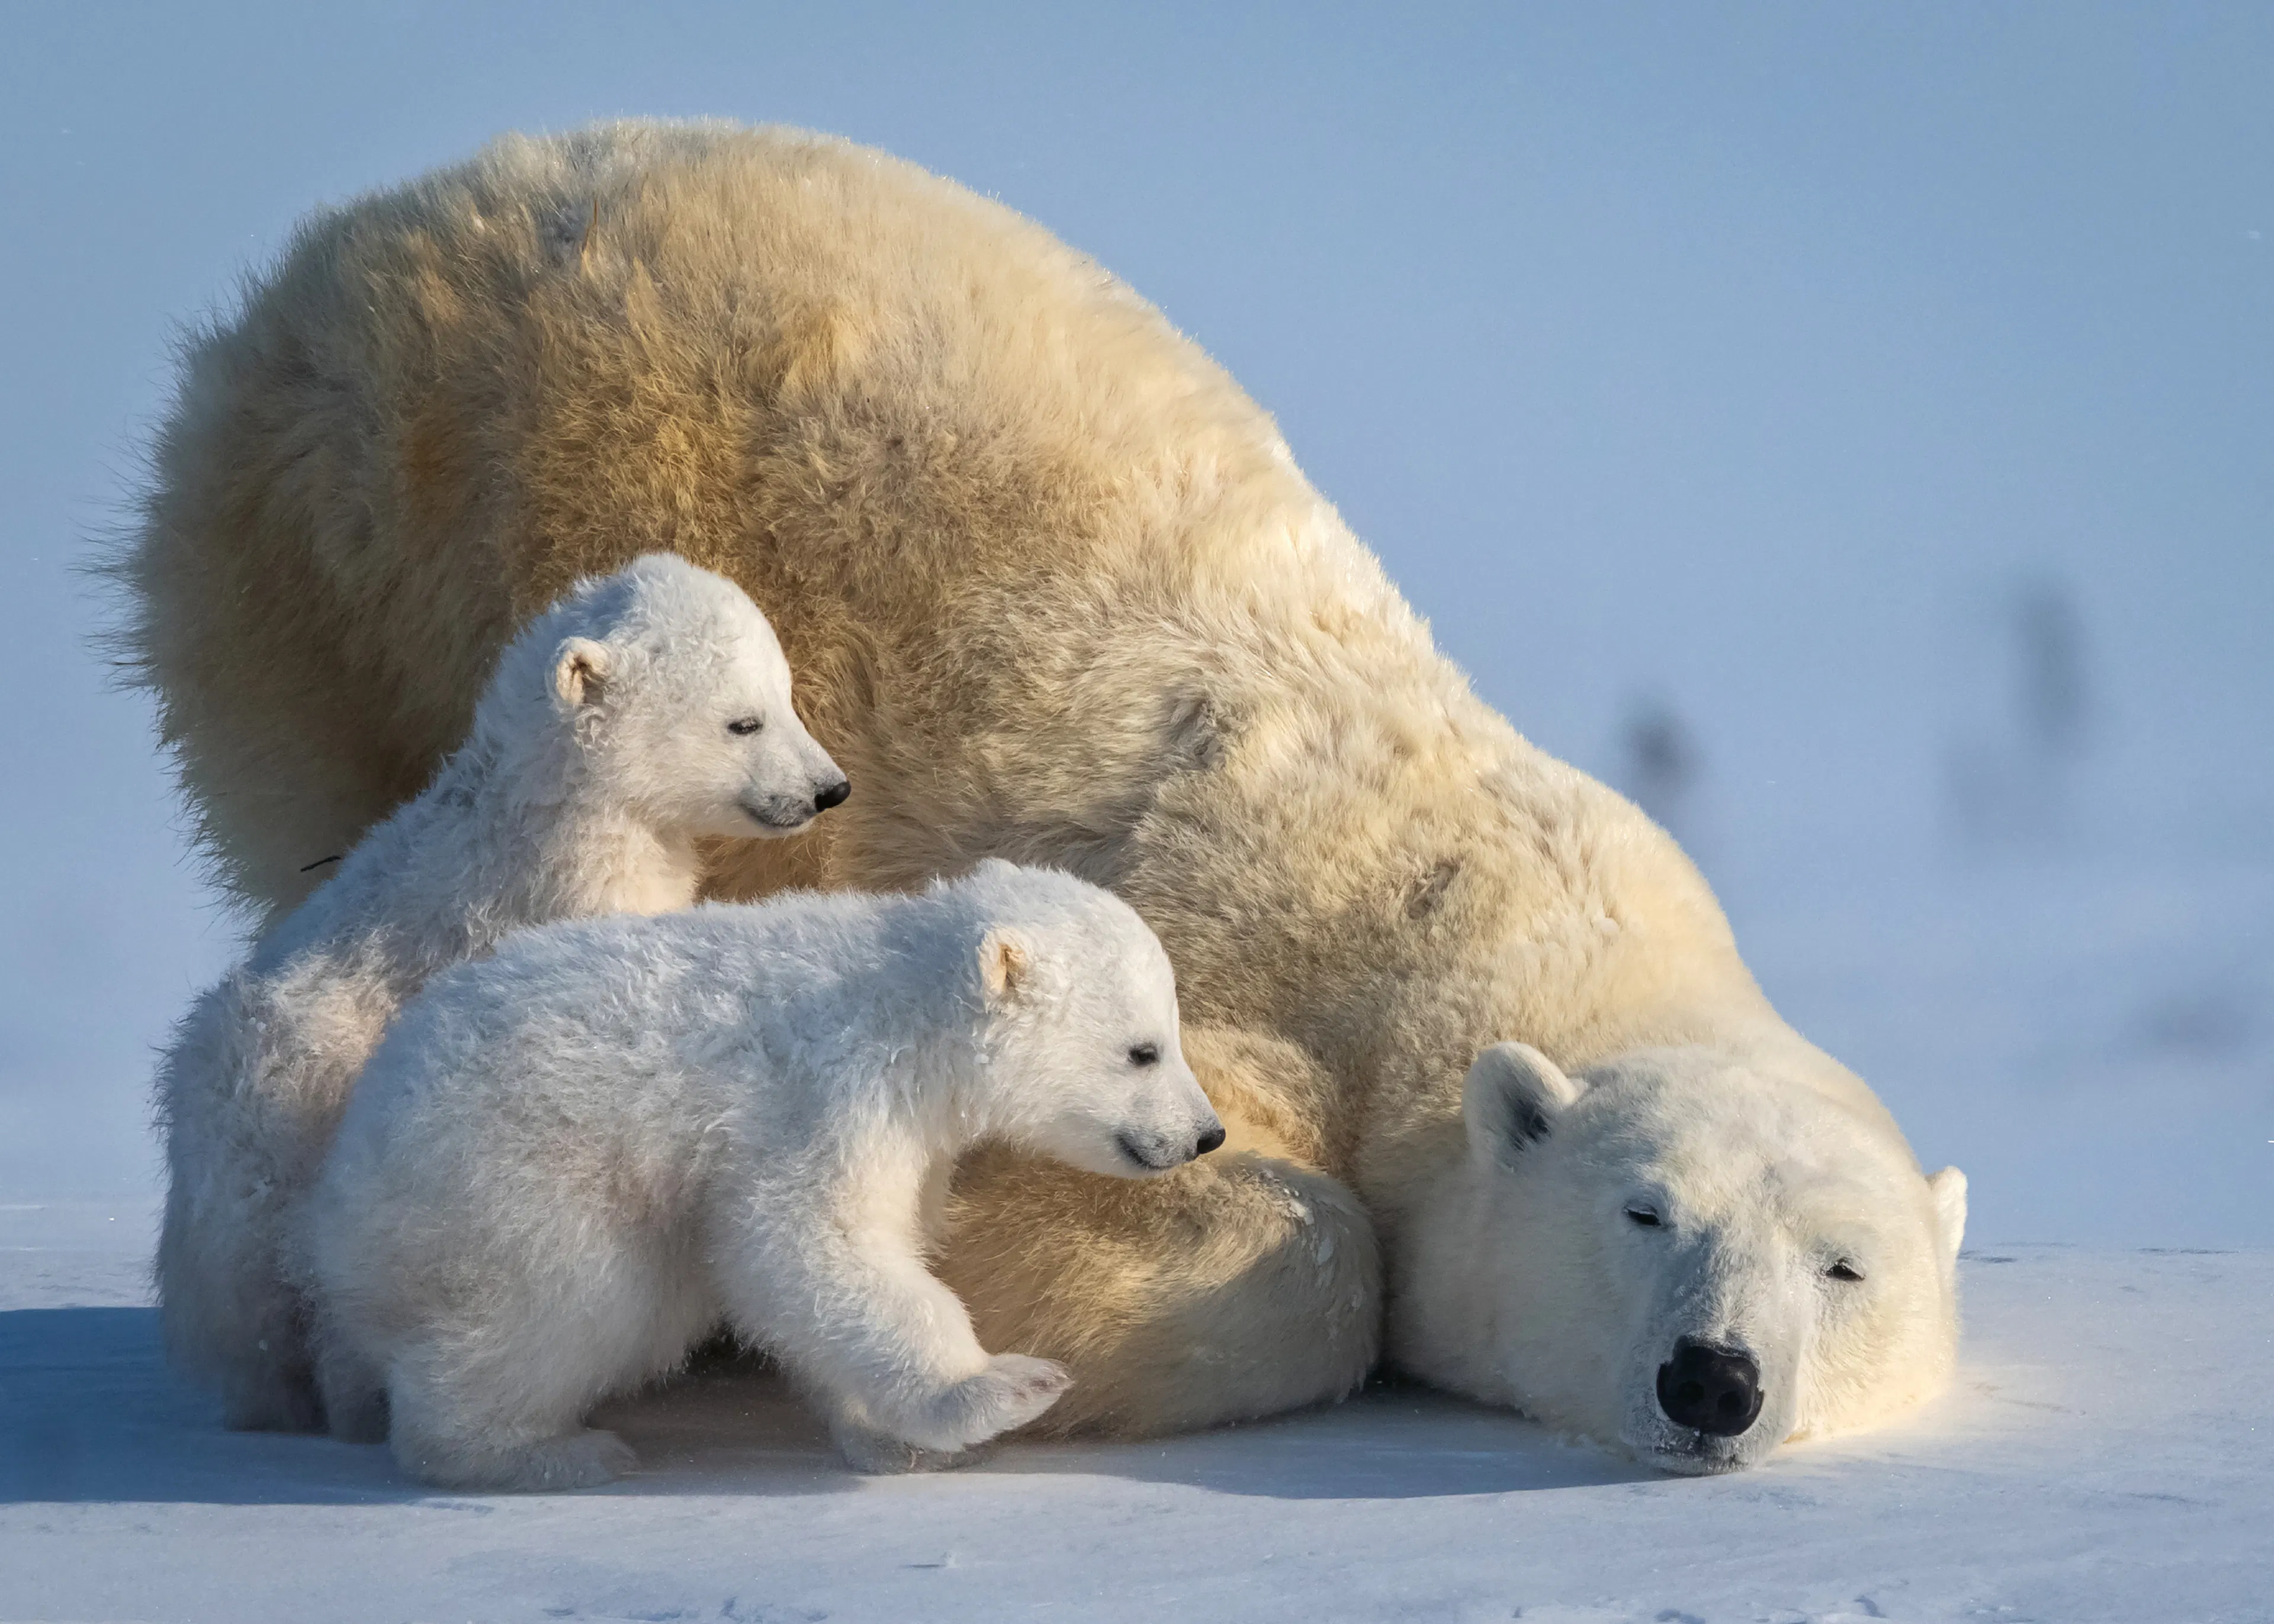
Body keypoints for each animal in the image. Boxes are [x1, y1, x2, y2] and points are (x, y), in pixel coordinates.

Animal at [153, 553, 848, 1433]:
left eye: (785, 695)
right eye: (743, 722)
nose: (830, 789)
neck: (554, 807)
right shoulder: (568, 892)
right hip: (294, 1127)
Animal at [304, 860, 1225, 1490]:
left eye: (1172, 1033)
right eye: (1142, 1049)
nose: (1206, 1133)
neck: (908, 1009)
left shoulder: (913, 1141)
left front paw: (891, 1439)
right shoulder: (829, 1095)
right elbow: (808, 1240)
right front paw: (1001, 1387)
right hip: (510, 1175)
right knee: (572, 1300)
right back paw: (546, 1449)